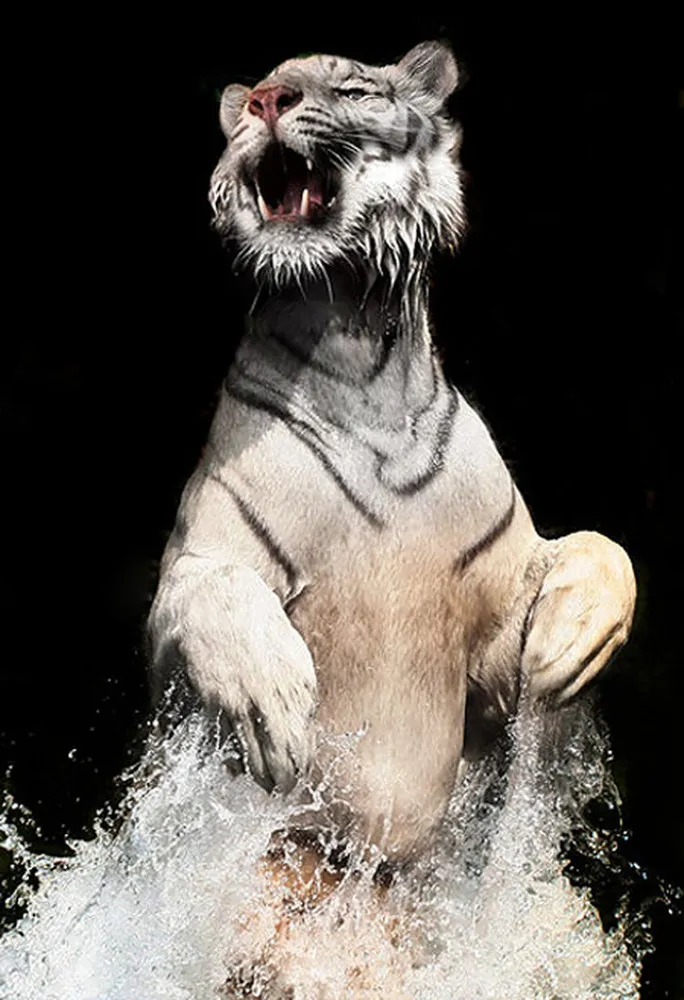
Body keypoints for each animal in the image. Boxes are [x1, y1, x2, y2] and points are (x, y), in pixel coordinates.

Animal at [147, 41, 637, 998]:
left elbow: (600, 549)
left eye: (349, 86)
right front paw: (274, 703)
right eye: (254, 100)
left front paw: (572, 639)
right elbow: (212, 594)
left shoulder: (491, 631)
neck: (352, 349)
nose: (264, 99)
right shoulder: (199, 578)